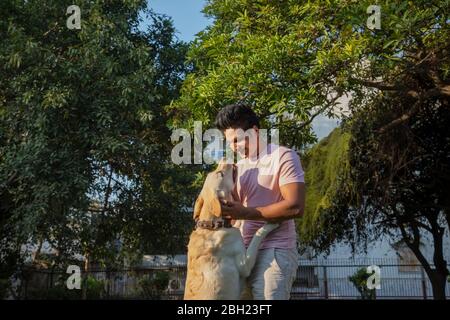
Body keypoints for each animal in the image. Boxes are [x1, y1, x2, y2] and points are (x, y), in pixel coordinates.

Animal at [183, 162, 278, 300]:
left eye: (214, 172)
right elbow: (258, 234)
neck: (213, 226)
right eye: (220, 174)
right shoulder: (245, 264)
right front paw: (272, 223)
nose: (225, 160)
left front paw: (239, 221)